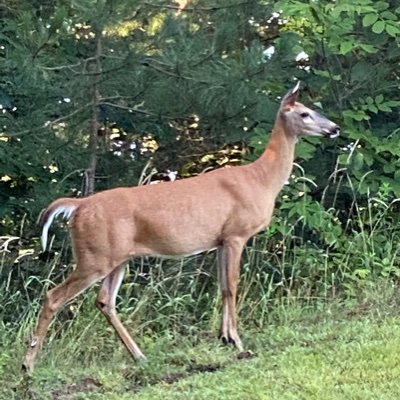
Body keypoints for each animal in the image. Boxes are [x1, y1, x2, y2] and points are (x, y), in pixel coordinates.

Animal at [21, 83, 340, 374]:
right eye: (305, 113)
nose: (335, 128)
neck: (261, 179)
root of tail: (78, 206)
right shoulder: (237, 233)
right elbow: (233, 285)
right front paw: (237, 340)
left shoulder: (220, 239)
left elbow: (223, 286)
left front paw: (224, 337)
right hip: (94, 256)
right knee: (54, 297)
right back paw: (28, 364)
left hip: (116, 257)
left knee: (104, 302)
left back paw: (139, 356)